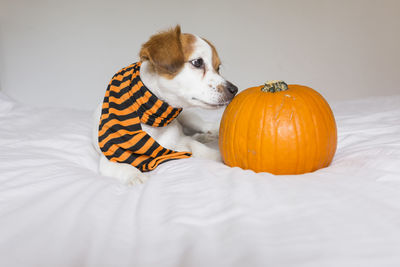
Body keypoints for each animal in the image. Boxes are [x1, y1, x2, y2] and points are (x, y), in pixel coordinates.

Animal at [93, 26, 238, 185]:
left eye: (218, 68)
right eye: (197, 62)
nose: (234, 90)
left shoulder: (181, 142)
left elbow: (199, 148)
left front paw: (218, 157)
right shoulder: (109, 159)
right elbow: (123, 167)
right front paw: (136, 176)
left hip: (188, 118)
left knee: (204, 127)